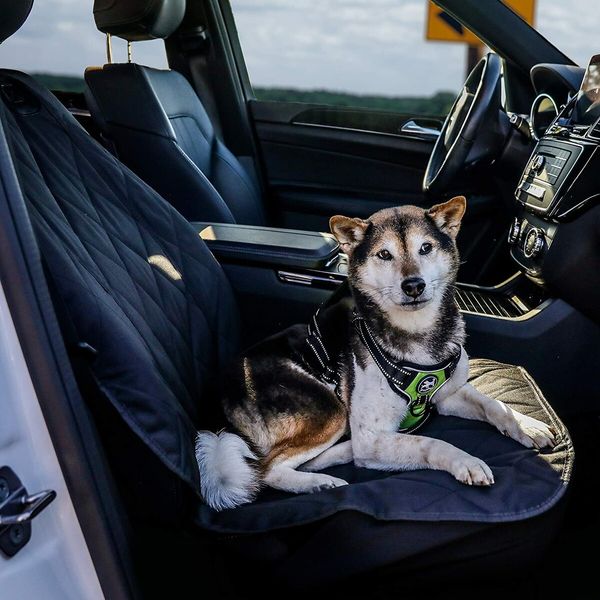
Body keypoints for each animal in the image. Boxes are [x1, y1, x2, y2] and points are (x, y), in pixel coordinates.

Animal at [198, 197, 556, 510]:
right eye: (384, 254)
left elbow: (493, 404)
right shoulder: (373, 437)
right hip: (329, 409)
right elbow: (430, 443)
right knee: (268, 469)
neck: (417, 335)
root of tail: (220, 393)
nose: (413, 285)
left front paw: (527, 426)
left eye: (425, 248)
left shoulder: (448, 395)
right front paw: (464, 461)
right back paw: (318, 483)